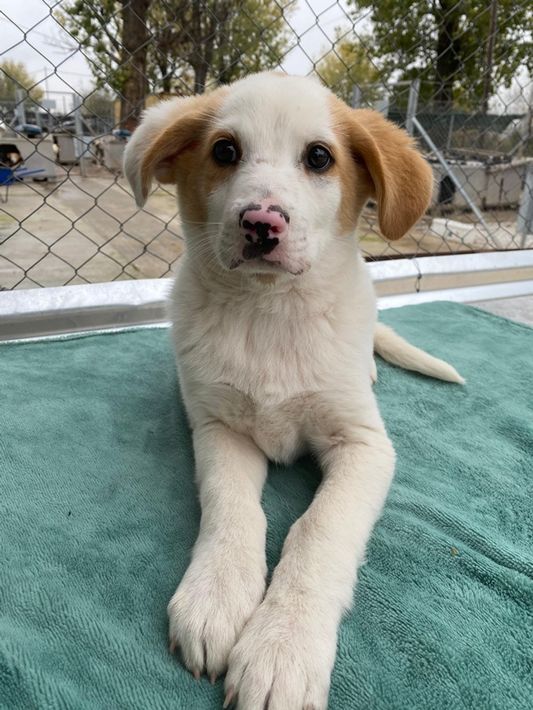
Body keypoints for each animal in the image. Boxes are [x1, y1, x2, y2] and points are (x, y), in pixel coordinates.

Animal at [124, 72, 463, 710]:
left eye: (320, 157)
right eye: (224, 151)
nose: (261, 223)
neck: (270, 312)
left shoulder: (365, 446)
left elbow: (318, 528)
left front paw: (284, 645)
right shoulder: (219, 428)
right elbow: (233, 508)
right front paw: (216, 597)